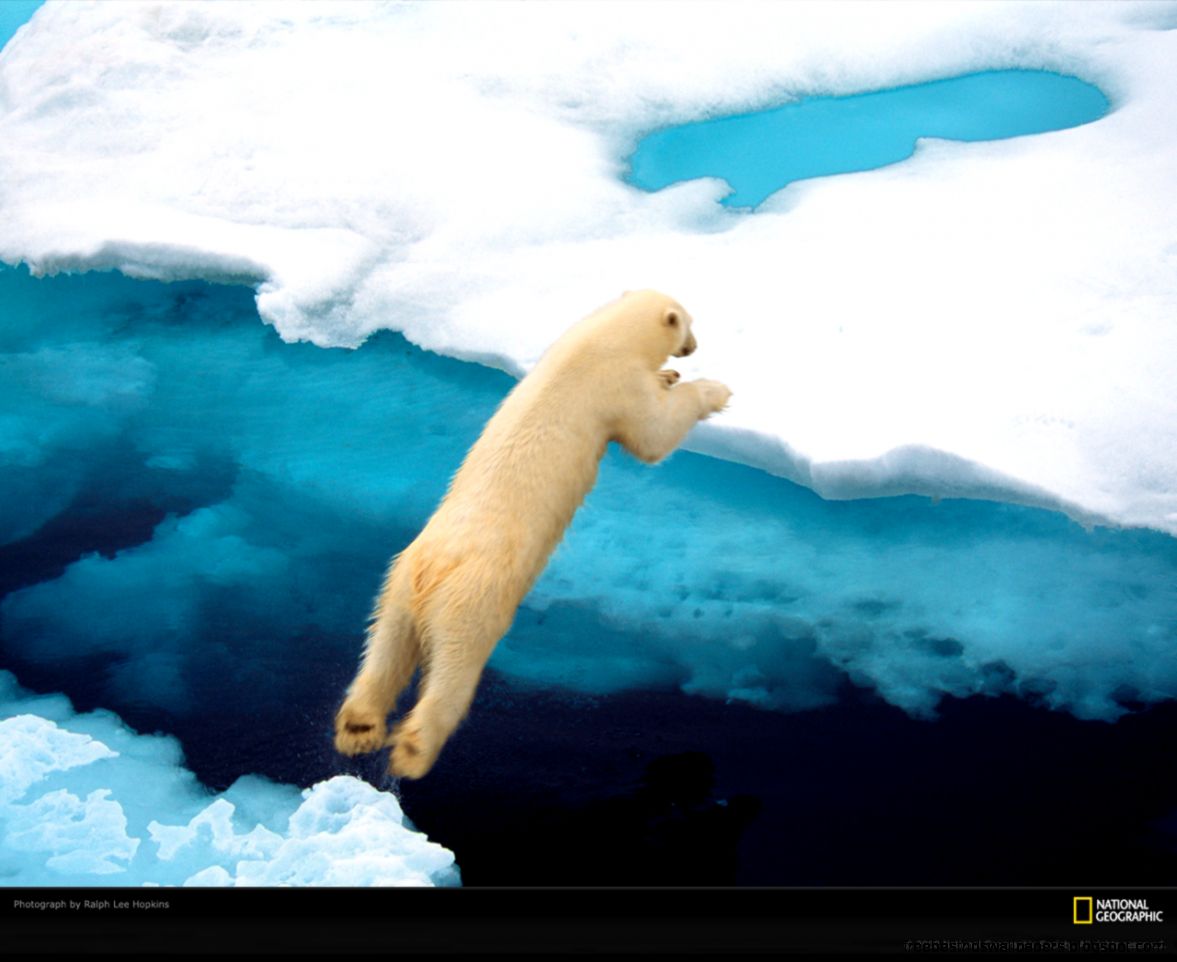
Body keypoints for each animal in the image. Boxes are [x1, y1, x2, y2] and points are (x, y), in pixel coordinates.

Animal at [333, 289, 732, 779]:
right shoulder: (616, 386)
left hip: (397, 584)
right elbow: (654, 434)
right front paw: (714, 391)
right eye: (689, 324)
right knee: (454, 668)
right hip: (473, 599)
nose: (693, 347)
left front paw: (669, 375)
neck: (599, 339)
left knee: (384, 648)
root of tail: (434, 573)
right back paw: (413, 749)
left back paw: (358, 728)